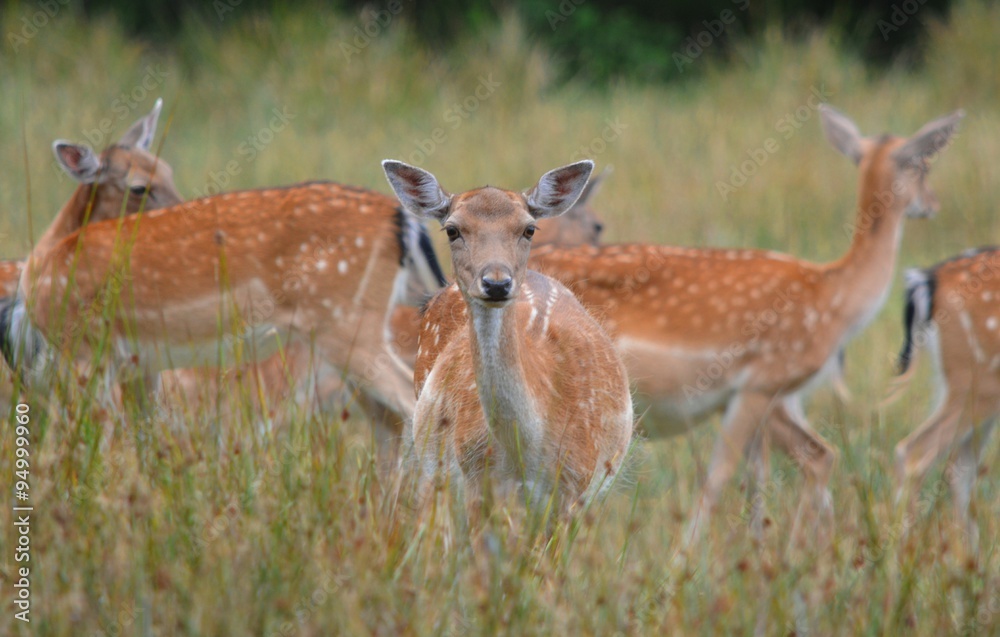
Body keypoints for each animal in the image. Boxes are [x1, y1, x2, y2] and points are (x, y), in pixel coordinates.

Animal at [520, 107, 964, 544]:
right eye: (923, 164)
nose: (932, 203)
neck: (835, 302)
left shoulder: (771, 395)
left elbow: (776, 470)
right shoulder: (760, 382)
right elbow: (723, 475)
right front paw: (691, 556)